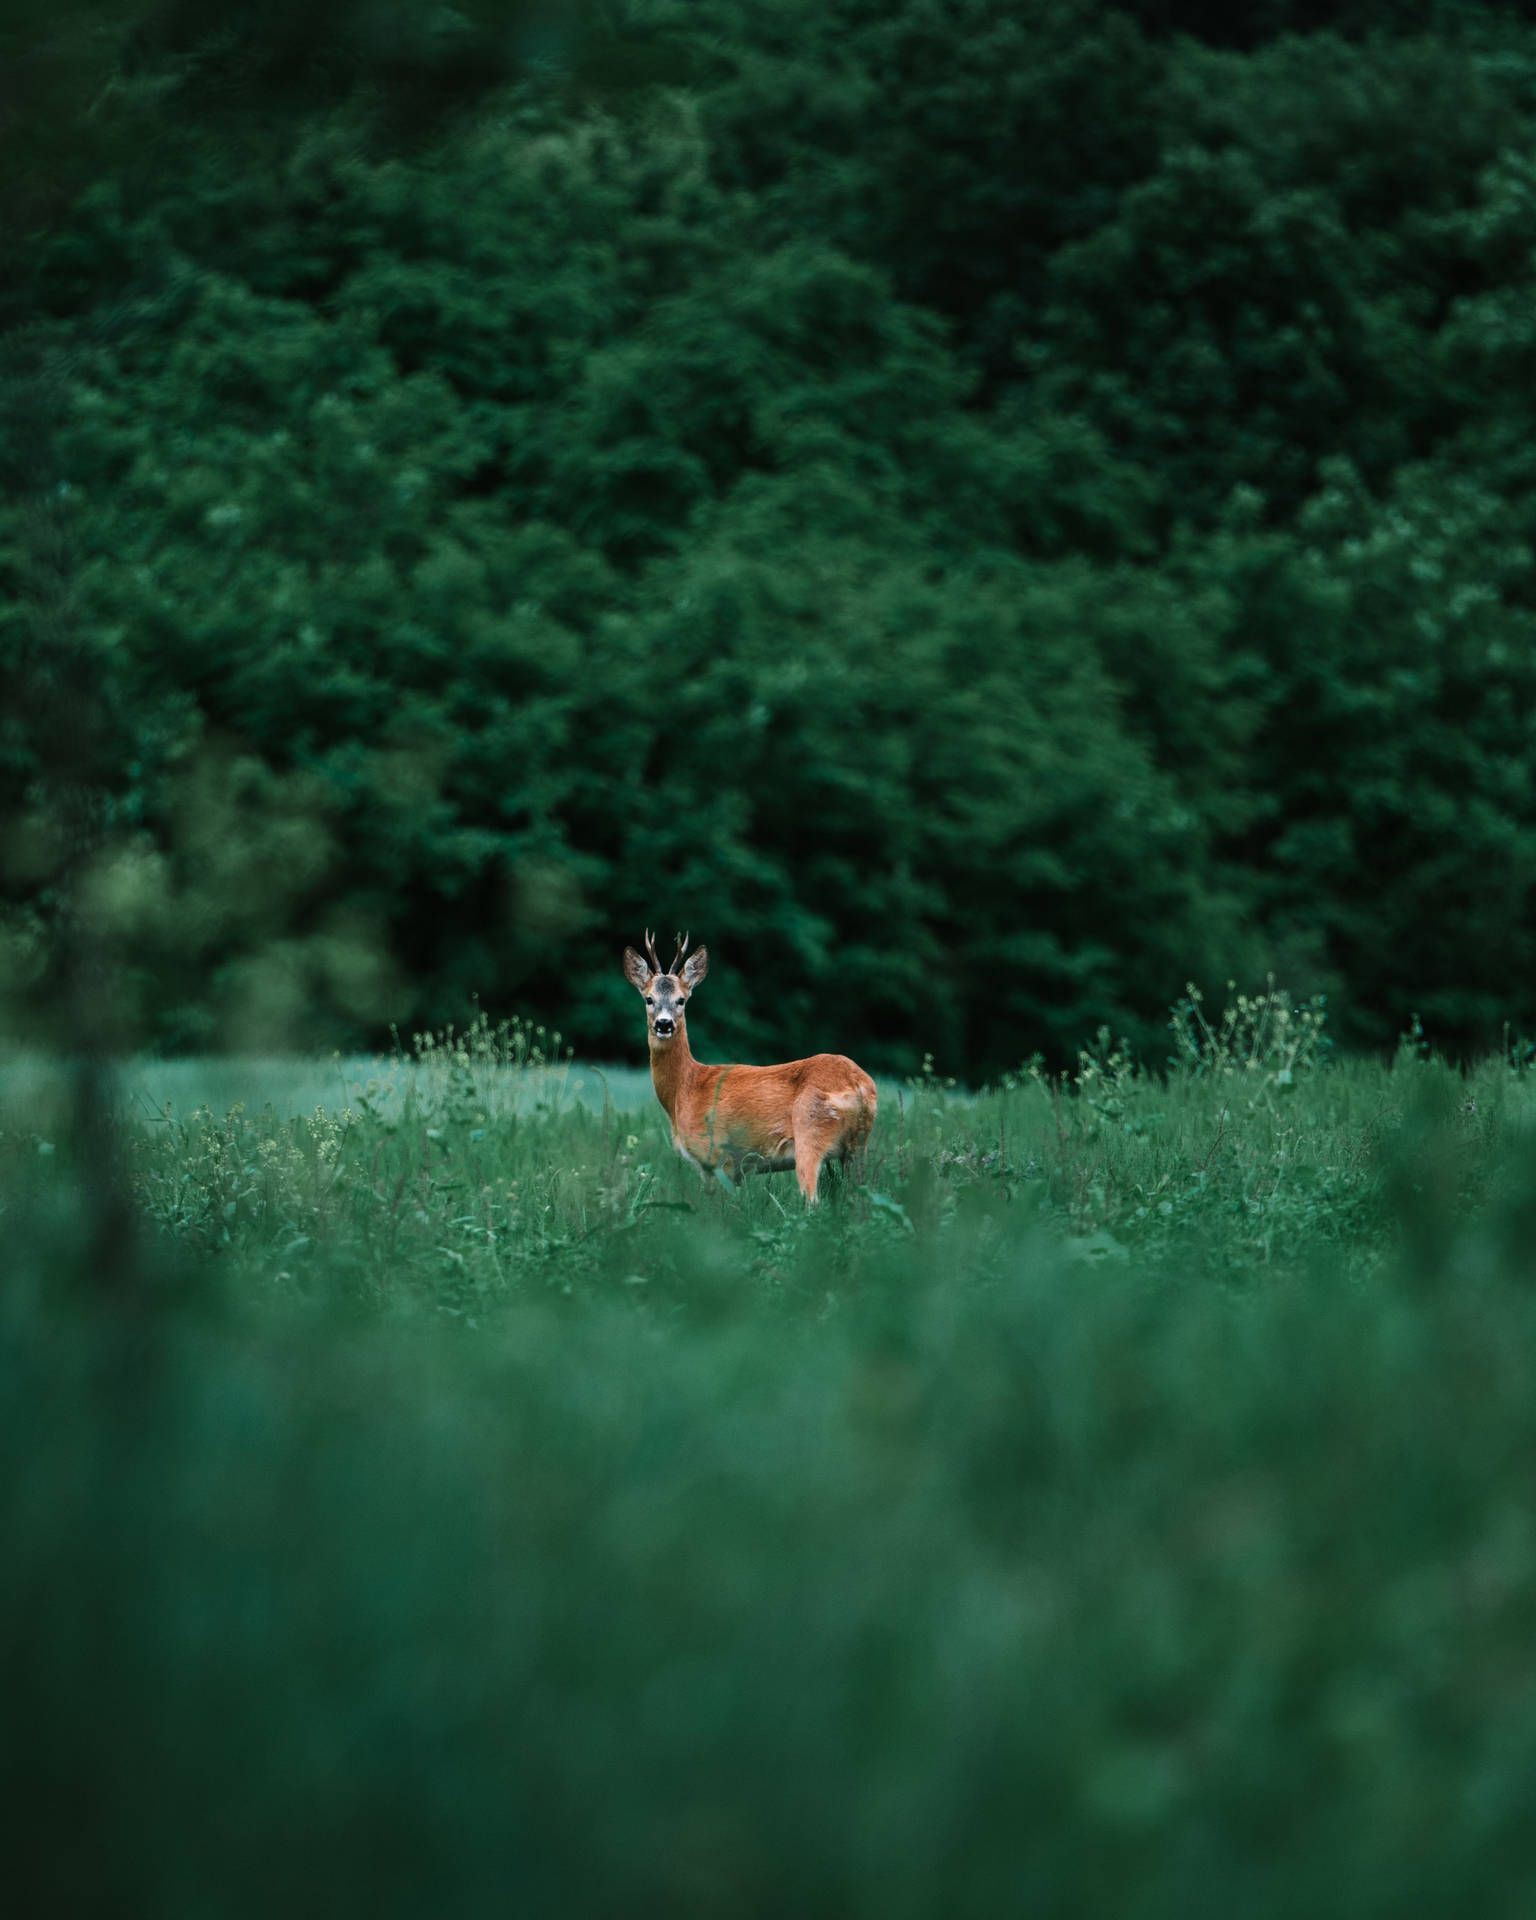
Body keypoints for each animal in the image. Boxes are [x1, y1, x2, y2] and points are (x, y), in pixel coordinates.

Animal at [623, 931, 877, 1204]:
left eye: (681, 1000)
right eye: (649, 999)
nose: (664, 1024)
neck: (685, 1088)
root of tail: (858, 1085)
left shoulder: (714, 1154)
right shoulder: (737, 1170)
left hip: (811, 1133)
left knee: (812, 1200)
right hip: (858, 1146)